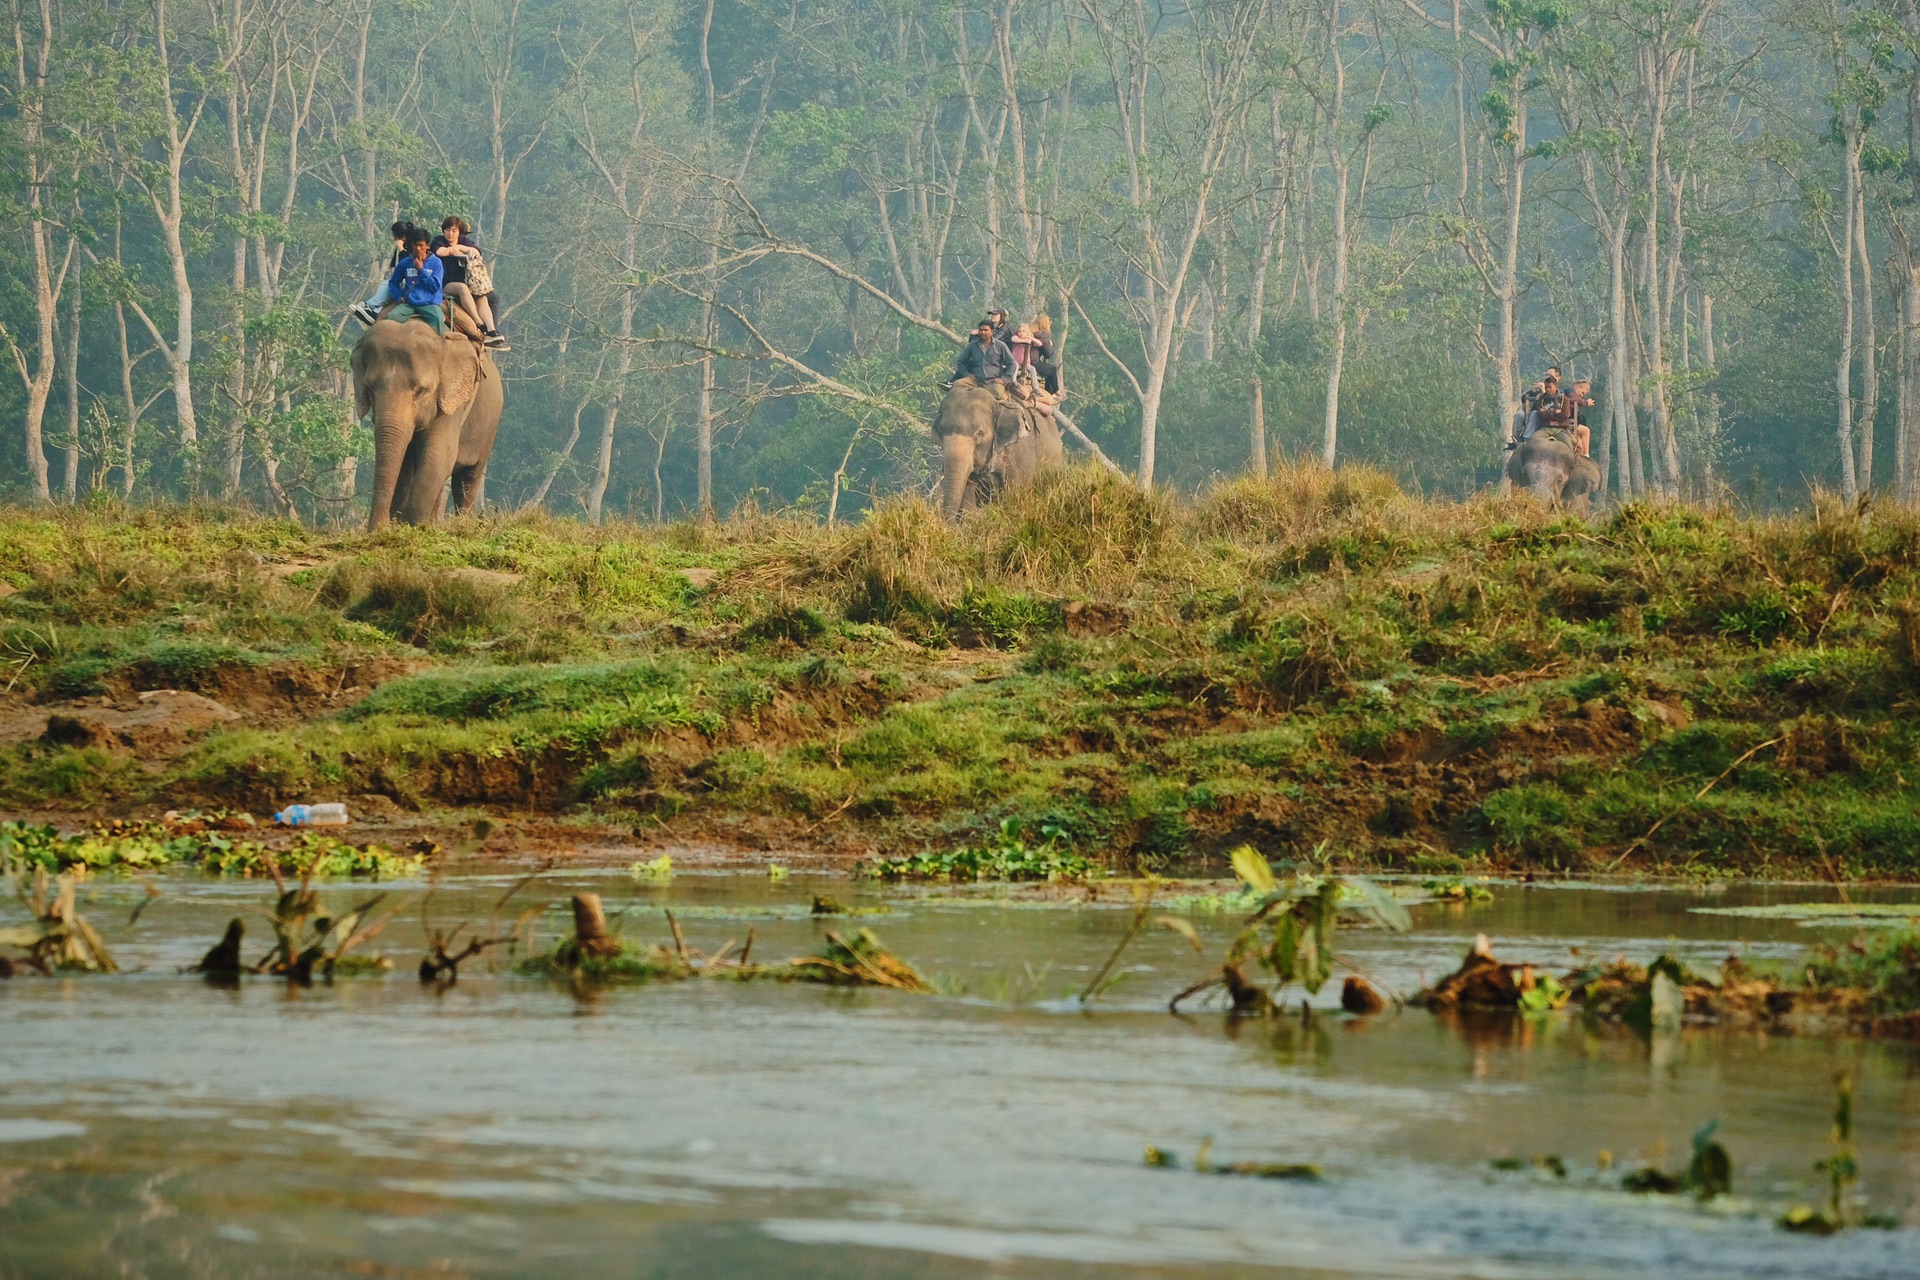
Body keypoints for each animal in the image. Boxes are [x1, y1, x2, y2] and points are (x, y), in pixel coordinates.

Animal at [351, 320, 503, 529]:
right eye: (370, 390)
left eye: (421, 391)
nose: (377, 529)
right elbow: (406, 463)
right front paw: (401, 523)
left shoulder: (451, 403)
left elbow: (439, 454)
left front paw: (413, 526)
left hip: (489, 428)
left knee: (467, 480)